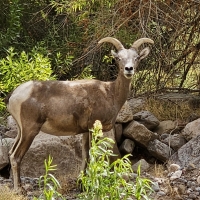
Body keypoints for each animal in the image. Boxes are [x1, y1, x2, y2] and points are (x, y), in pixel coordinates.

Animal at [5, 36, 153, 191]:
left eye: (136, 58)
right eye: (118, 58)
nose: (128, 69)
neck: (110, 93)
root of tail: (14, 95)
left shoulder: (85, 132)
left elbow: (85, 155)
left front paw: (81, 183)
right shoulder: (93, 129)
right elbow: (91, 155)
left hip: (21, 131)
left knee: (10, 153)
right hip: (30, 130)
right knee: (15, 156)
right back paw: (19, 189)